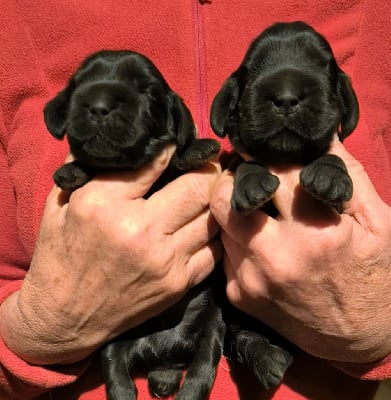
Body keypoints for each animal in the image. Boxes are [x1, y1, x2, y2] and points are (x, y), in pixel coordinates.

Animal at [43, 50, 225, 400]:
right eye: (78, 85)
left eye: (146, 91)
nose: (98, 104)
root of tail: (162, 349)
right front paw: (72, 172)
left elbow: (175, 162)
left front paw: (194, 150)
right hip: (113, 341)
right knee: (118, 379)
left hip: (211, 323)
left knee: (200, 368)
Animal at [213, 21, 360, 212]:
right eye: (253, 70)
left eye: (323, 69)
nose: (286, 99)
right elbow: (242, 163)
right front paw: (251, 180)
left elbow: (331, 155)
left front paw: (328, 173)